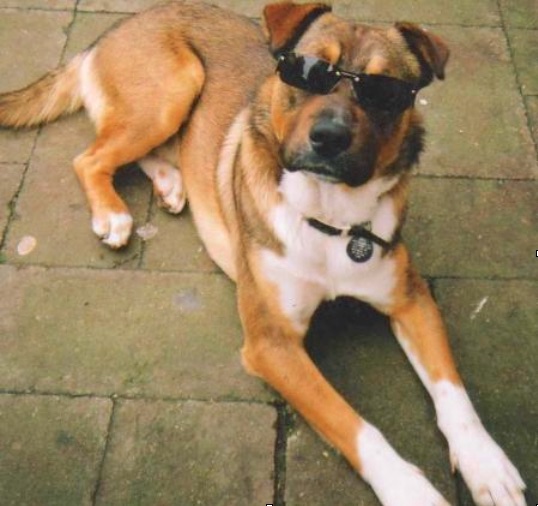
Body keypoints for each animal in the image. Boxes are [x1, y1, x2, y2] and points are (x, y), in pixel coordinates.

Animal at [0, 1, 524, 504]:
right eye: (309, 72)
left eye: (384, 91)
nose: (328, 137)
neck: (330, 221)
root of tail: (118, 28)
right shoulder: (273, 344)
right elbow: (353, 424)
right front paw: (409, 489)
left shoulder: (413, 299)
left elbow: (454, 393)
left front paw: (487, 465)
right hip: (175, 88)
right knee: (90, 159)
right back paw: (112, 213)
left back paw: (170, 182)